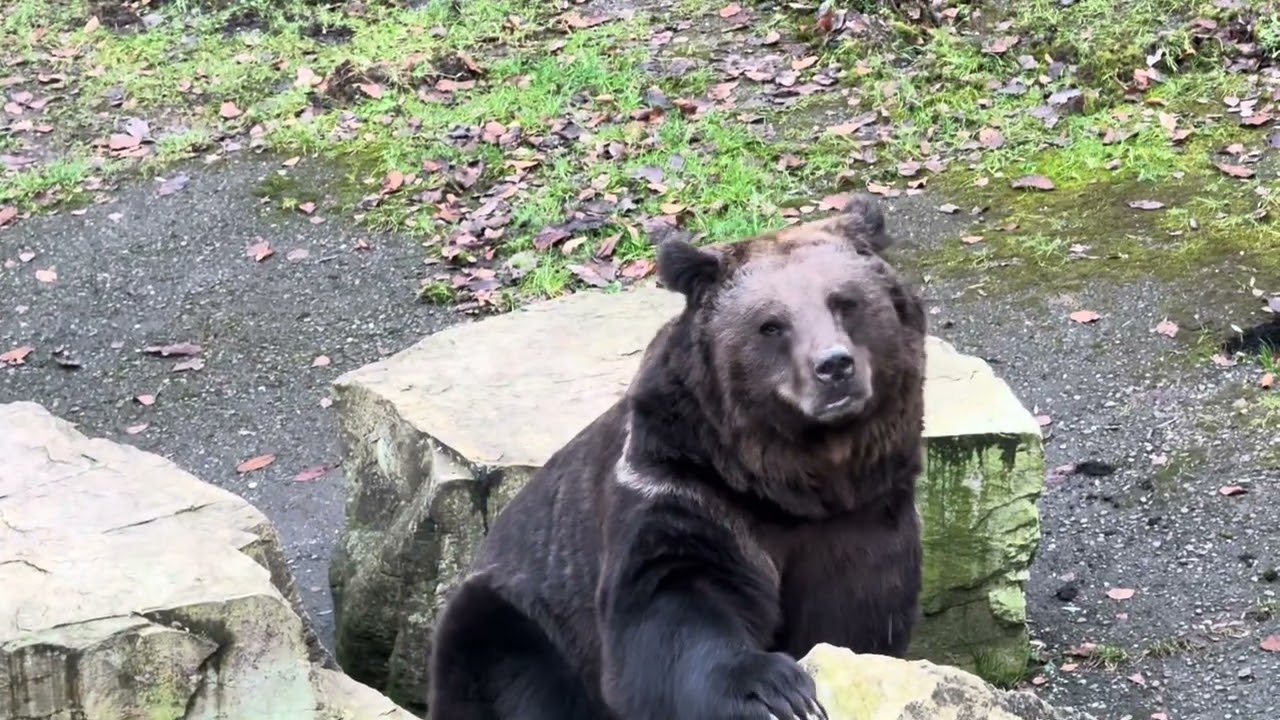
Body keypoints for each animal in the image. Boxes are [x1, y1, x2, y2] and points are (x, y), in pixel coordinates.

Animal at [427, 192, 928, 720]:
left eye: (845, 302)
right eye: (772, 325)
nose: (833, 366)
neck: (797, 481)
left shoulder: (861, 518)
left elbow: (855, 621)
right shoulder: (682, 485)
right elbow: (669, 604)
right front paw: (775, 689)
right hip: (517, 620)